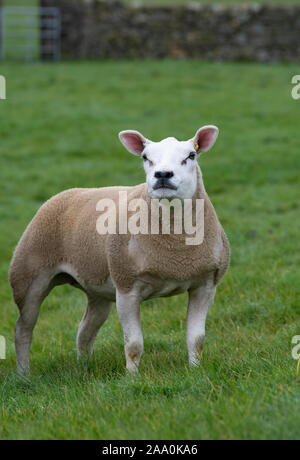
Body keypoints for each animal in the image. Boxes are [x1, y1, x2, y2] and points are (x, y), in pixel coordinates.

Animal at [9, 125, 230, 374]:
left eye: (191, 156)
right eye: (145, 157)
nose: (163, 175)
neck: (176, 253)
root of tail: (67, 193)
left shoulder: (205, 286)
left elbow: (197, 339)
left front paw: (195, 371)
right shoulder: (126, 288)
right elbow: (133, 344)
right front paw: (133, 377)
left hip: (97, 289)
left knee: (85, 331)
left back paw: (84, 367)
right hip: (28, 278)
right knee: (23, 330)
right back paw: (24, 374)